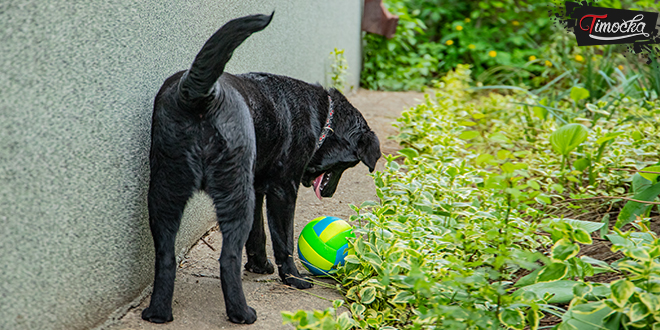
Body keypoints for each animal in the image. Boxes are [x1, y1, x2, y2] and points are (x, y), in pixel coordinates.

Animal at [143, 13, 382, 324]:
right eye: (351, 165)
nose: (329, 194)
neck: (321, 117)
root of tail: (198, 93)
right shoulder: (283, 190)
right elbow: (283, 239)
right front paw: (293, 278)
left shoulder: (257, 187)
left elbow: (258, 234)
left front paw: (259, 264)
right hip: (234, 196)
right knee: (227, 258)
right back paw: (241, 313)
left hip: (165, 193)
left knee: (165, 255)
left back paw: (158, 312)